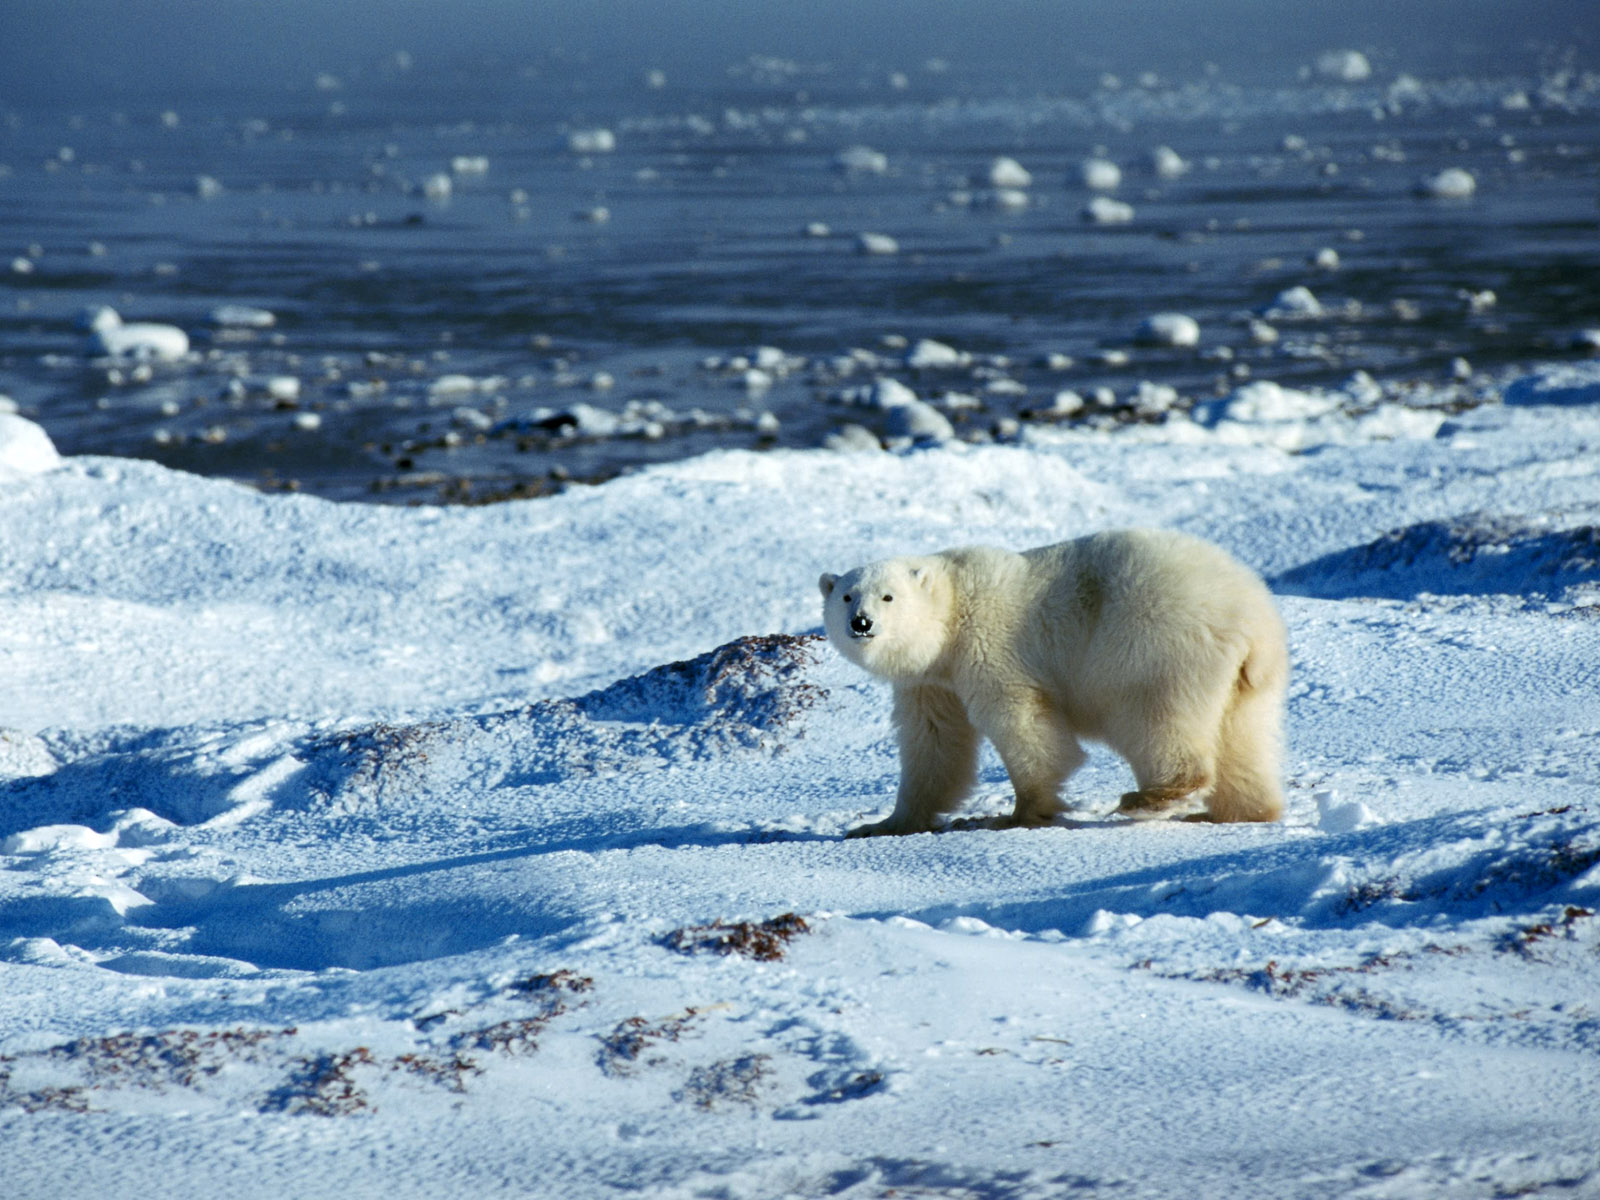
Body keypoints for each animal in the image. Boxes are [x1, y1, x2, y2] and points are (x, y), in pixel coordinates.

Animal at [818, 529, 1288, 835]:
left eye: (888, 596)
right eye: (846, 595)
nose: (861, 623)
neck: (952, 610)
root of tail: (1250, 618)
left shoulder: (990, 646)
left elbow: (1022, 722)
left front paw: (1016, 814)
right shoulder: (930, 682)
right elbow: (934, 743)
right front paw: (883, 824)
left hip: (1155, 644)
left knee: (1155, 717)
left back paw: (1151, 797)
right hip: (1249, 681)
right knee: (1243, 738)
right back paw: (1235, 812)